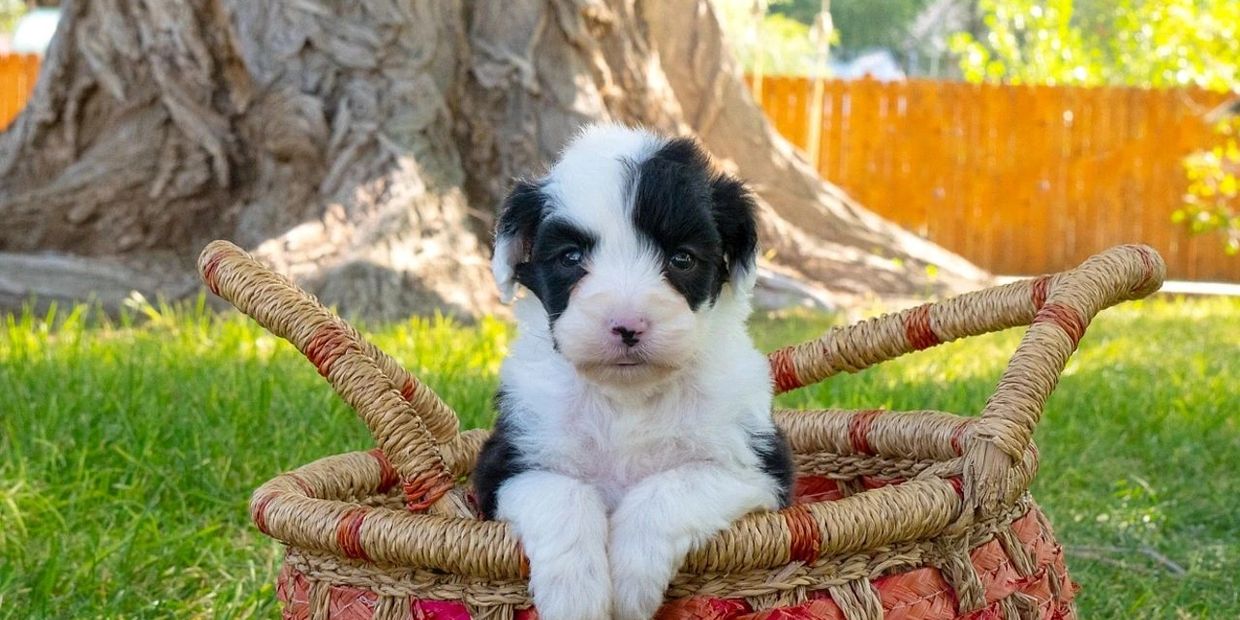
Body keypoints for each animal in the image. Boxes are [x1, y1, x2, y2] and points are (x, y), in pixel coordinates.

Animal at [473, 124, 793, 620]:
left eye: (682, 259)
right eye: (570, 257)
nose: (627, 326)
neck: (628, 397)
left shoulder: (754, 467)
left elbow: (668, 489)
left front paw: (628, 585)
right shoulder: (508, 464)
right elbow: (564, 494)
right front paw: (577, 599)